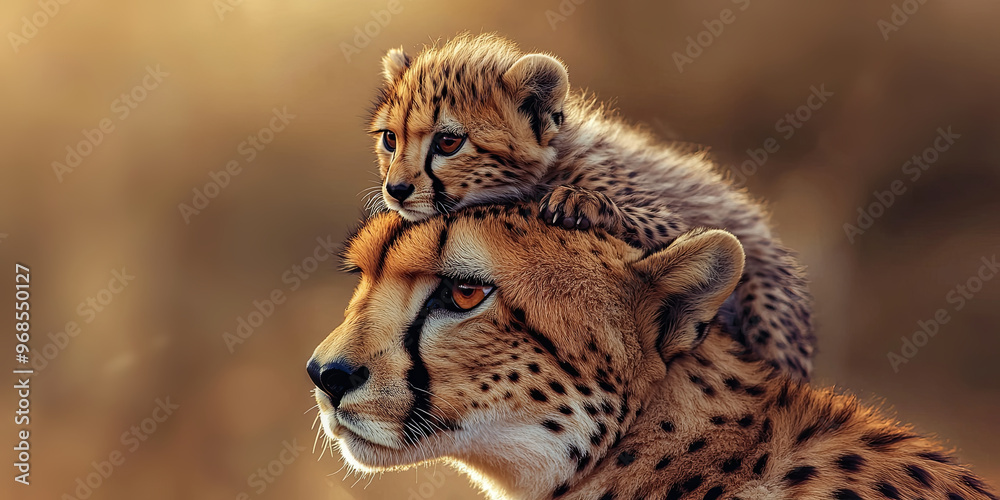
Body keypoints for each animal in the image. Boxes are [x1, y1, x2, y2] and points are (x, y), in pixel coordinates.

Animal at [365, 33, 815, 380]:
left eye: (448, 142)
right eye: (390, 138)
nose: (397, 190)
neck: (549, 166)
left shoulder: (670, 213)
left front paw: (581, 202)